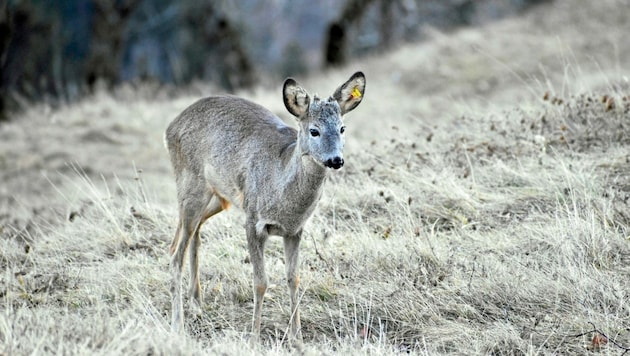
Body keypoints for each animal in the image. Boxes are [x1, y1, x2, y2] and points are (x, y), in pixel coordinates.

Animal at [165, 71, 368, 340]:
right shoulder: (253, 221)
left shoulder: (294, 230)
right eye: (314, 131)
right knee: (176, 252)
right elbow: (260, 282)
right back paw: (177, 324)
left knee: (191, 236)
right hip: (191, 185)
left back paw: (196, 303)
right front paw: (254, 338)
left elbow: (294, 279)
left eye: (342, 128)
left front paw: (297, 338)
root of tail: (171, 126)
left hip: (220, 197)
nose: (336, 160)